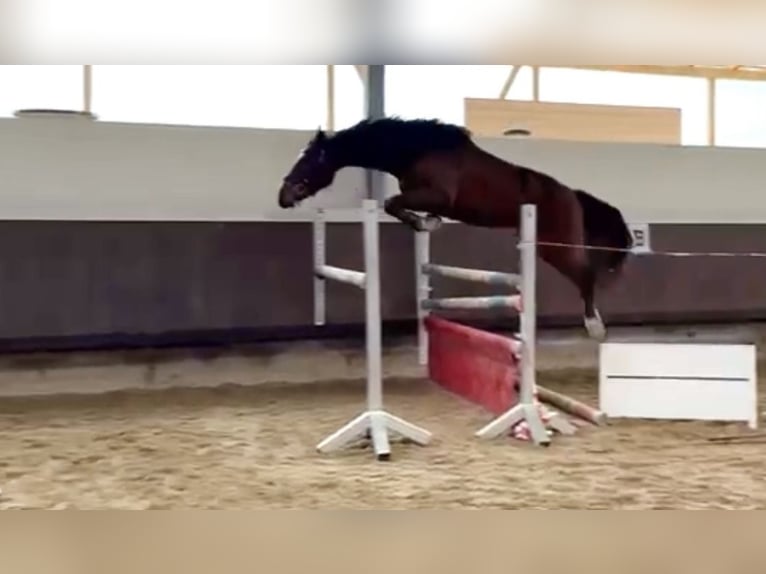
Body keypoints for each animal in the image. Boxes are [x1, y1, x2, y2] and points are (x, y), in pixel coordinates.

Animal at [277, 117, 633, 340]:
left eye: (308, 160)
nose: (283, 196)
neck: (416, 149)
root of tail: (573, 194)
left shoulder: (437, 195)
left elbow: (392, 202)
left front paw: (424, 222)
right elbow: (398, 206)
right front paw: (428, 223)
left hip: (555, 245)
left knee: (585, 276)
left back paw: (595, 327)